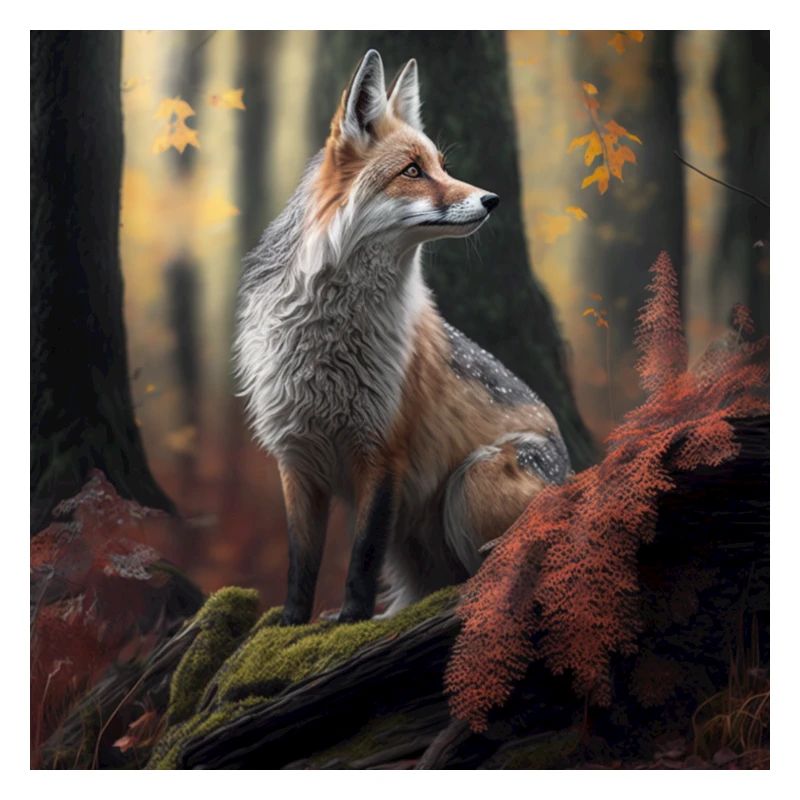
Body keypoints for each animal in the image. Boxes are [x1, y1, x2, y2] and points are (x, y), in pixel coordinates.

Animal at [234, 50, 571, 625]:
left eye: (441, 165)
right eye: (413, 171)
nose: (493, 198)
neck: (330, 344)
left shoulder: (383, 449)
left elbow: (363, 554)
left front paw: (349, 620)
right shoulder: (295, 454)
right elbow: (302, 560)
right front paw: (293, 625)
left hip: (471, 479)